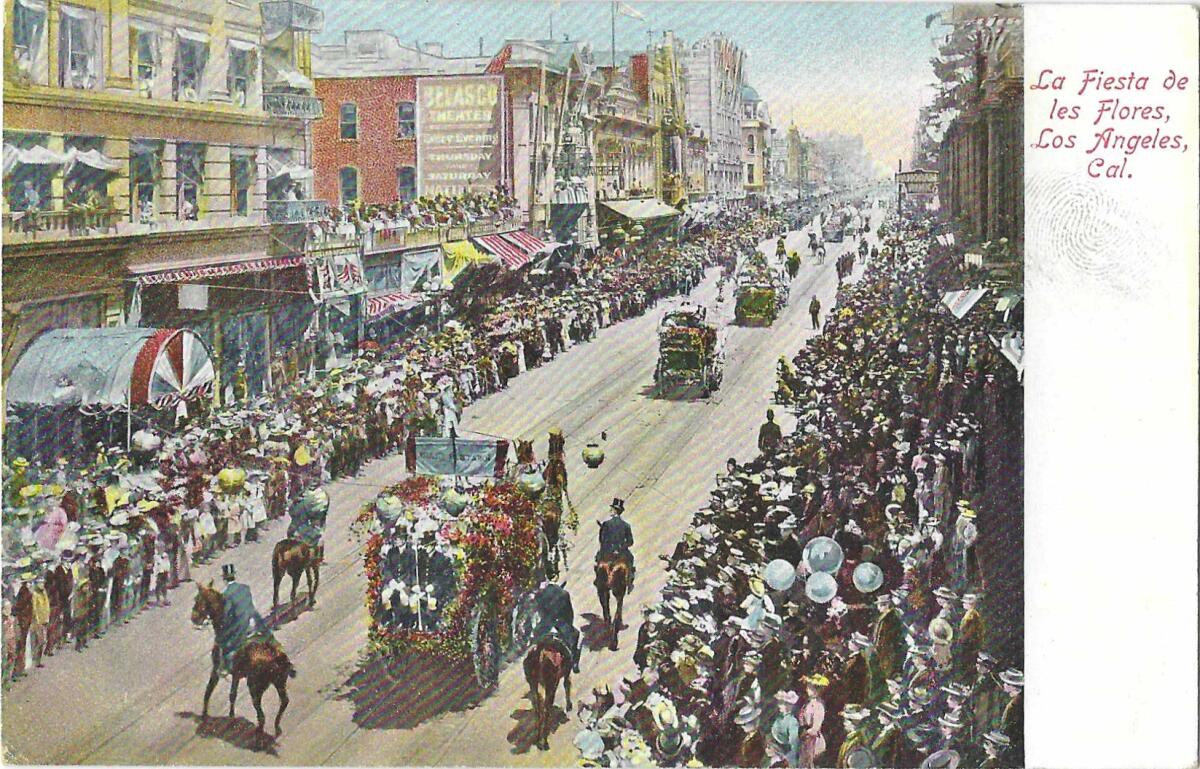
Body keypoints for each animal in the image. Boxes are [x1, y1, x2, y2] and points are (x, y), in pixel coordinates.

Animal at [192, 580, 297, 729]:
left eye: (197, 599)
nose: (194, 618)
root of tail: (277, 658)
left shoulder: (216, 669)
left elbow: (208, 691)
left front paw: (205, 715)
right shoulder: (236, 674)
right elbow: (232, 695)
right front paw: (231, 716)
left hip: (255, 687)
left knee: (261, 714)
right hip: (279, 682)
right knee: (284, 701)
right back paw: (277, 726)